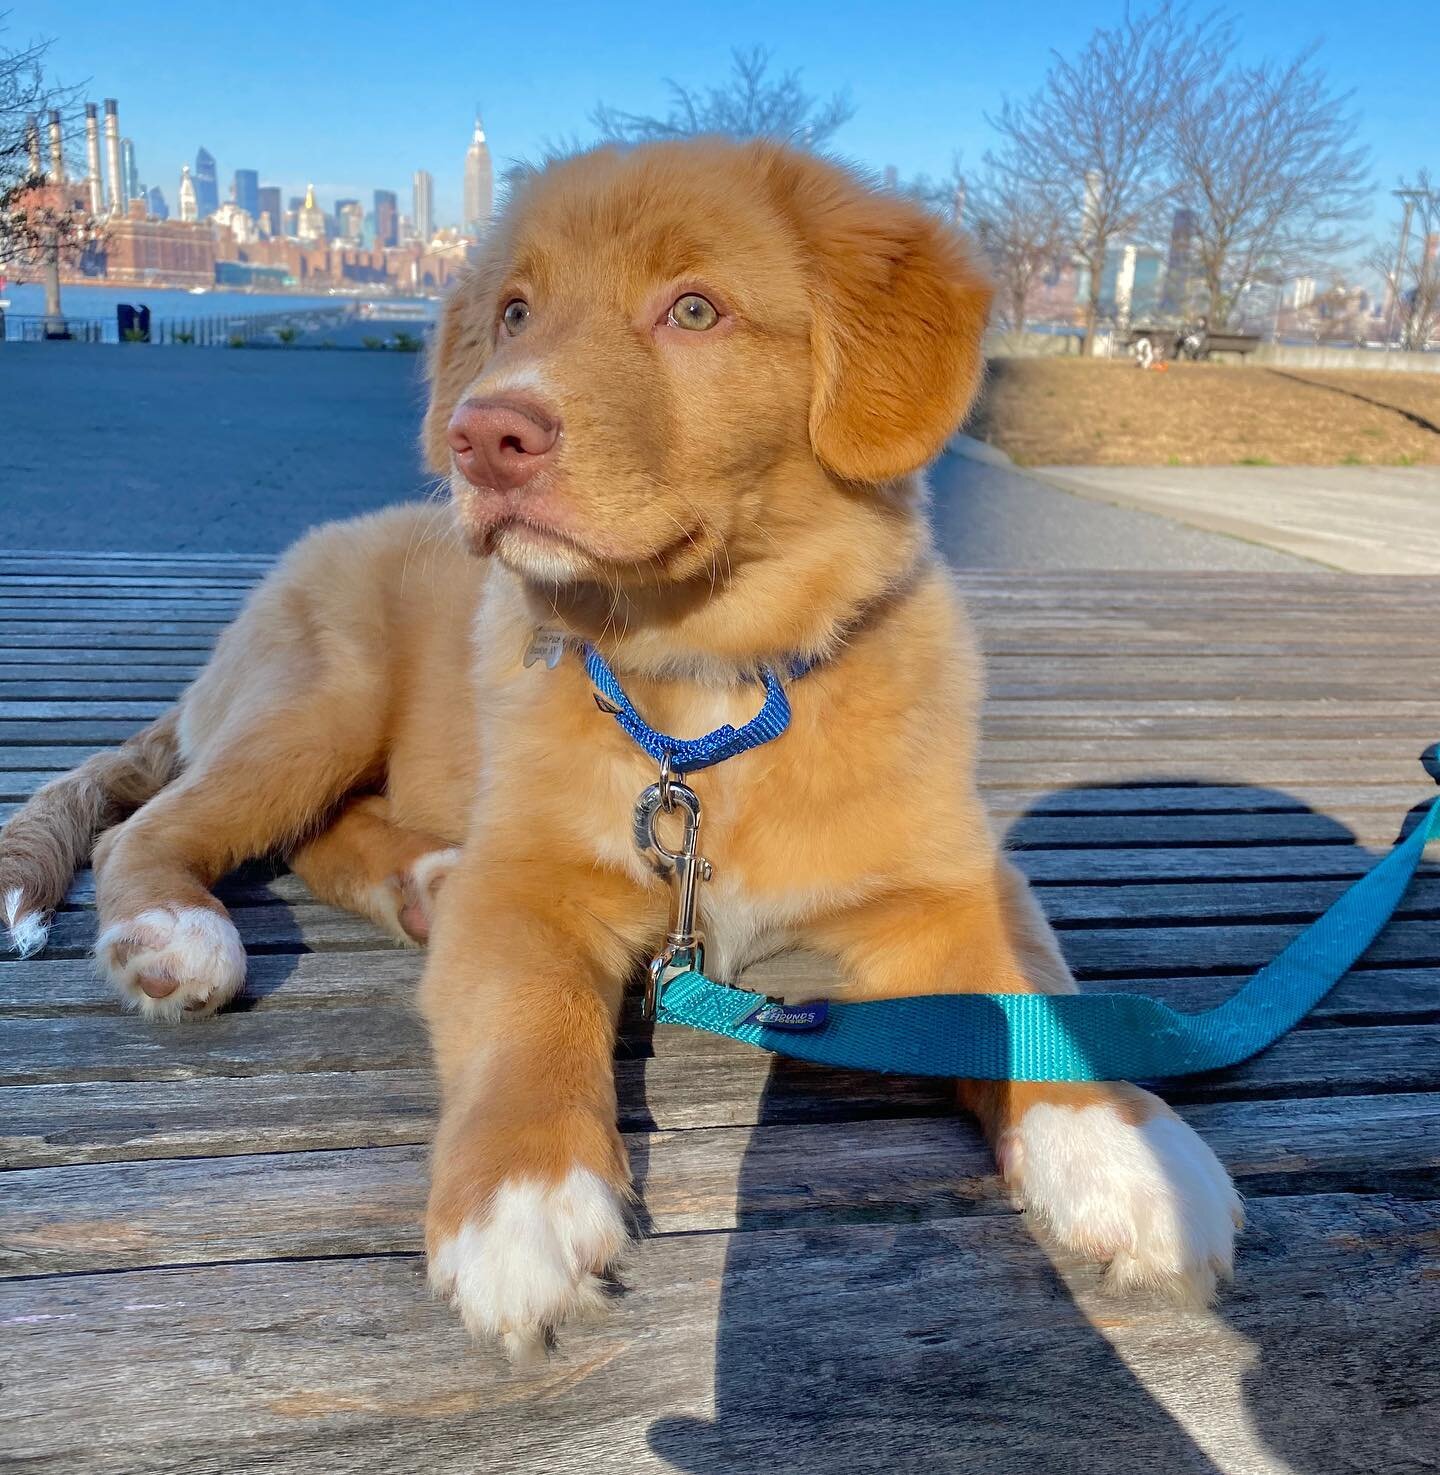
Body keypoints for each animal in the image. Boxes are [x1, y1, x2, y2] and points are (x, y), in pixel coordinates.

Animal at [0, 140, 1239, 1357]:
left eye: (693, 309)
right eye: (513, 314)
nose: (482, 436)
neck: (706, 689)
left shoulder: (953, 881)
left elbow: (1036, 999)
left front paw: (1119, 1146)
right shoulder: (525, 885)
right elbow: (527, 1014)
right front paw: (521, 1198)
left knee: (316, 832)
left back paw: (420, 882)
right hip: (321, 696)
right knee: (153, 828)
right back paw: (174, 931)